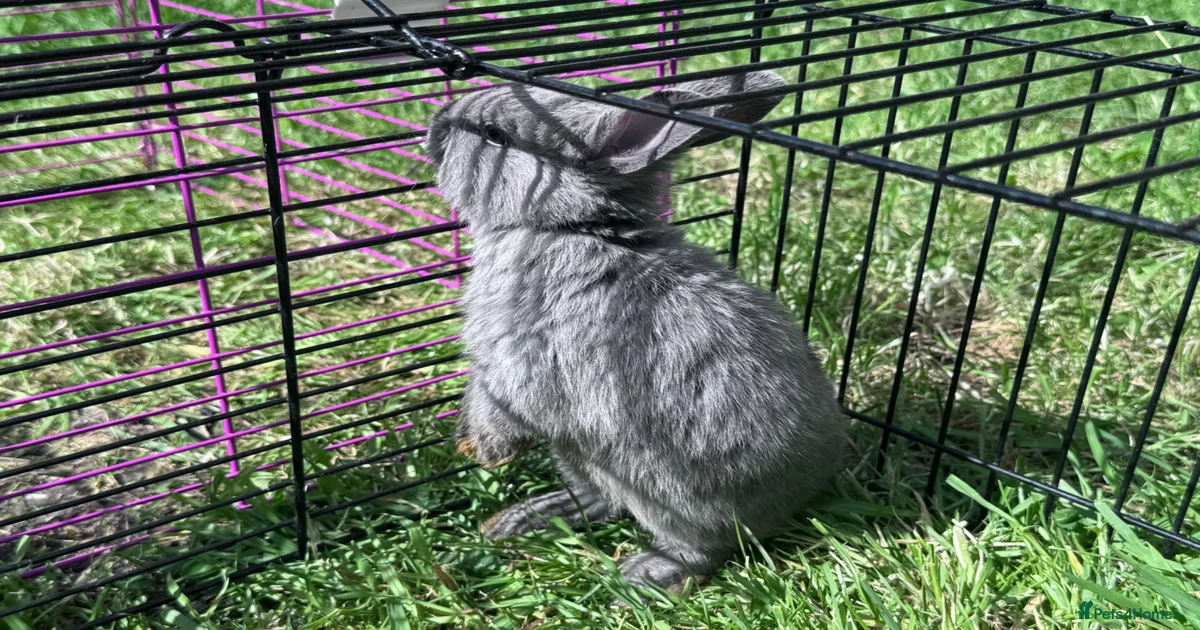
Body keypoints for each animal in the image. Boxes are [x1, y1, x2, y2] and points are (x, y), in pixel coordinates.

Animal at [424, 70, 846, 596]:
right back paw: (524, 519)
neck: (570, 227)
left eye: (494, 134)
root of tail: (805, 492)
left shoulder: (517, 364)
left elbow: (500, 403)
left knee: (705, 547)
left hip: (665, 493)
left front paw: (484, 449)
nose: (436, 122)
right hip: (582, 457)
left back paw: (641, 577)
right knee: (599, 500)